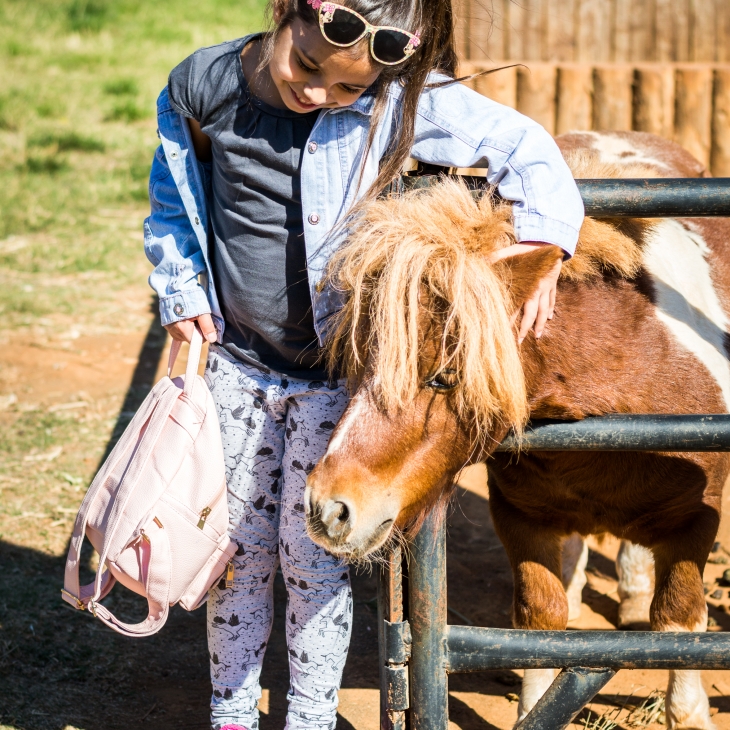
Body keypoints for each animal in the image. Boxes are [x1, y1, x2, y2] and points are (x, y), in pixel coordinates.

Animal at [304, 132, 728, 728]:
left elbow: (678, 625)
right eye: (358, 365)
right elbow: (541, 619)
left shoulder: (695, 521)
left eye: (443, 377)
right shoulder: (523, 517)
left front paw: (688, 713)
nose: (327, 509)